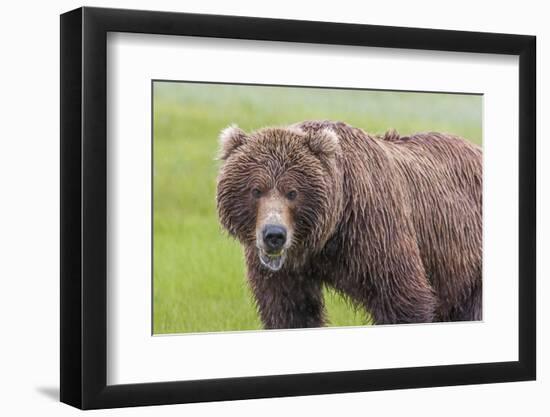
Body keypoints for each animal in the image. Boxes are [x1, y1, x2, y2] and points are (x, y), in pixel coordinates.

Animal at [216, 120, 484, 328]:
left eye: (292, 192)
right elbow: (289, 309)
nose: (274, 235)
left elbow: (402, 297)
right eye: (256, 190)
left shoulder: (374, 228)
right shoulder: (285, 271)